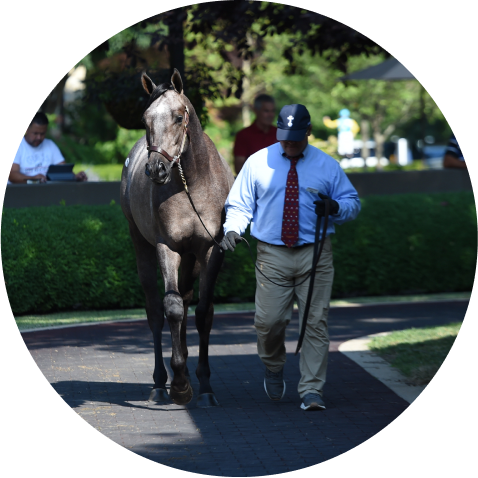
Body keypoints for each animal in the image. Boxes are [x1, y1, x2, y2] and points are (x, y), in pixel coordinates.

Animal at [120, 69, 234, 407]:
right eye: (145, 119)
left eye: (179, 116)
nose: (156, 169)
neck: (191, 184)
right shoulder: (166, 246)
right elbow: (170, 308)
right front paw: (180, 383)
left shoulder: (210, 250)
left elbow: (204, 312)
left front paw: (205, 385)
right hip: (141, 245)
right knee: (156, 311)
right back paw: (161, 383)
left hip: (191, 259)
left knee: (185, 299)